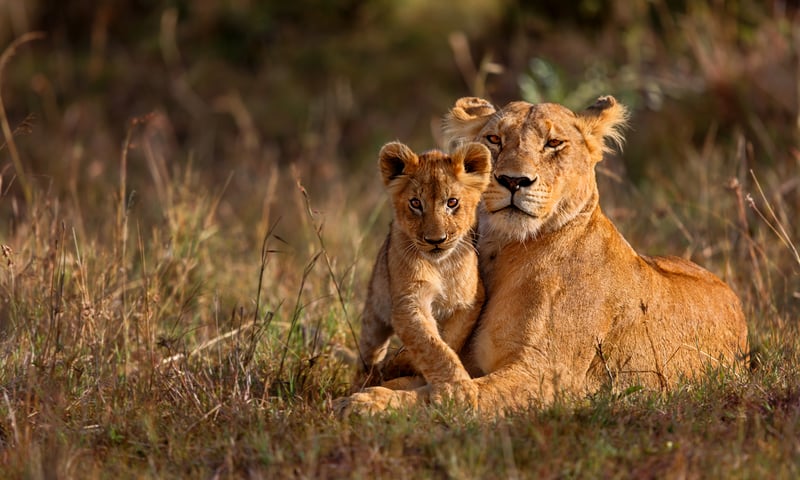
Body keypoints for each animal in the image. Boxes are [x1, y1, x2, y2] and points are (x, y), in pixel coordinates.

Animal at [351, 141, 492, 392]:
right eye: (415, 203)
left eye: (452, 202)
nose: (436, 240)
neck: (441, 266)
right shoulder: (409, 302)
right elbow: (431, 345)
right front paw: (458, 389)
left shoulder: (470, 301)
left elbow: (448, 340)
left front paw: (403, 363)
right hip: (374, 314)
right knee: (369, 352)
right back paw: (365, 379)